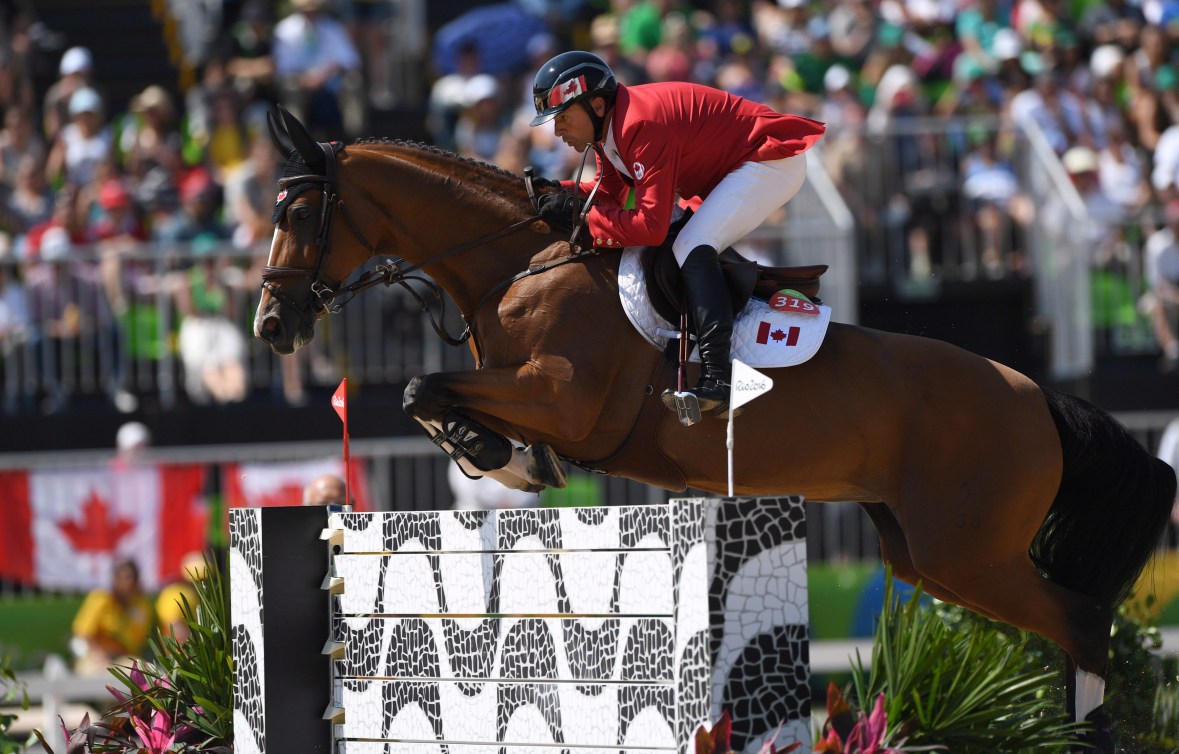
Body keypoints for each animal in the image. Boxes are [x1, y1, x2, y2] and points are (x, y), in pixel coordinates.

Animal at [253, 108, 1174, 749]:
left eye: (297, 217)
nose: (270, 326)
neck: (518, 267)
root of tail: (1037, 397)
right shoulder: (524, 391)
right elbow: (434, 395)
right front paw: (496, 455)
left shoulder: (560, 395)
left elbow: (421, 386)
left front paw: (496, 455)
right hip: (928, 555)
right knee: (1062, 622)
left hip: (967, 552)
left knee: (1080, 622)